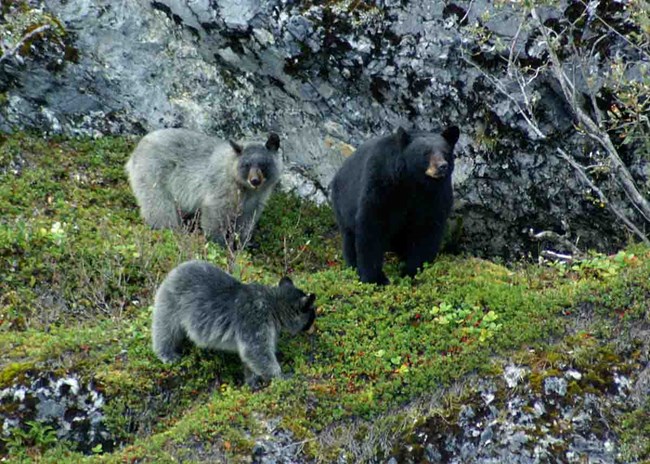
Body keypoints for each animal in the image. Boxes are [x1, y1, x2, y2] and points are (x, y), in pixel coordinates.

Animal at [332, 127, 458, 286]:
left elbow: (427, 230)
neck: (415, 182)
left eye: (446, 152)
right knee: (349, 238)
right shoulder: (383, 183)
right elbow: (372, 224)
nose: (442, 166)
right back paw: (353, 267)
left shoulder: (436, 195)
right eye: (426, 152)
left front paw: (412, 271)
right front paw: (375, 278)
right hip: (343, 205)